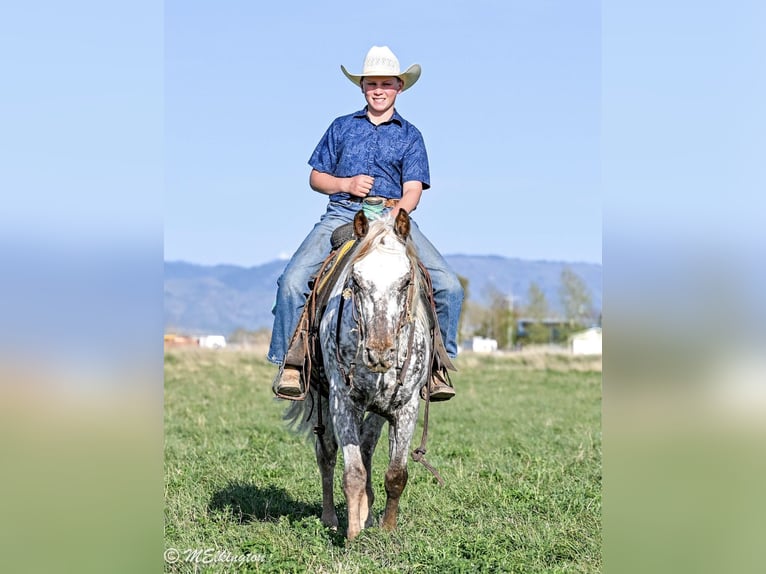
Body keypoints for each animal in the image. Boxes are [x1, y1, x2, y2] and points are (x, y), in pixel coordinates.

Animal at [284, 208, 437, 541]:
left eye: (406, 281)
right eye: (355, 279)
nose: (379, 352)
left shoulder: (406, 406)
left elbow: (396, 473)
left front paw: (387, 528)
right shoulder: (343, 401)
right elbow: (352, 472)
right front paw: (353, 534)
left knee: (367, 443)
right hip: (322, 397)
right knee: (326, 453)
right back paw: (331, 517)